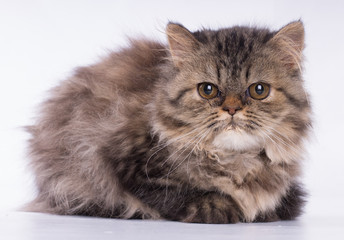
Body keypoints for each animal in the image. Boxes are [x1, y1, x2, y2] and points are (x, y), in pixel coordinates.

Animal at [26, 20, 312, 223]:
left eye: (258, 90)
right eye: (208, 90)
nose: (232, 108)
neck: (234, 160)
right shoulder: (121, 164)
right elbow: (187, 194)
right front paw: (221, 206)